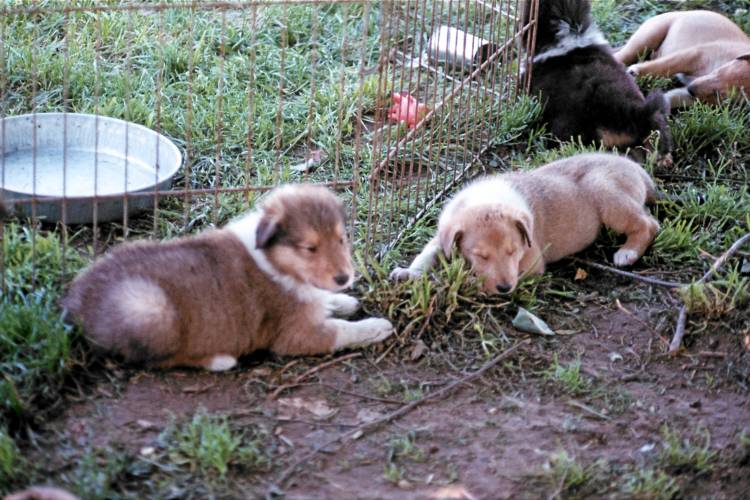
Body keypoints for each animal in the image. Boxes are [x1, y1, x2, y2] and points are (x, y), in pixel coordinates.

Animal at [61, 185, 396, 372]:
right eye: (309, 248)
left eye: (341, 239)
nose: (344, 277)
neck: (274, 260)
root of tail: (74, 302)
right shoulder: (295, 334)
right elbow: (342, 330)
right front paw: (377, 326)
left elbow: (327, 301)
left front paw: (344, 300)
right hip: (151, 309)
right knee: (153, 359)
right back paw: (219, 361)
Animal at [390, 152, 660, 292]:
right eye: (482, 255)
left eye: (513, 251)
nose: (505, 288)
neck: (487, 199)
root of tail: (638, 169)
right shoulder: (441, 237)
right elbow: (426, 255)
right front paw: (409, 273)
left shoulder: (531, 262)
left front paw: (465, 281)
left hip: (606, 193)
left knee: (650, 224)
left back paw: (627, 252)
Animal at [616, 10, 750, 109]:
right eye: (718, 72)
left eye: (719, 94)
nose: (691, 88)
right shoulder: (692, 55)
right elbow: (663, 66)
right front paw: (637, 72)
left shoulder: (700, 97)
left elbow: (673, 98)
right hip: (648, 36)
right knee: (623, 55)